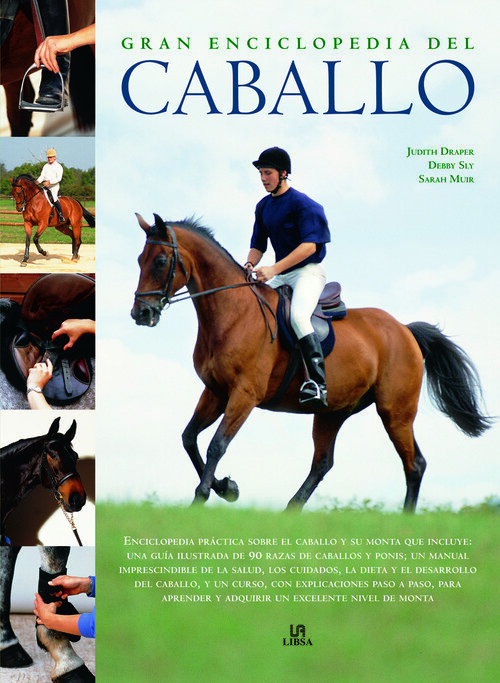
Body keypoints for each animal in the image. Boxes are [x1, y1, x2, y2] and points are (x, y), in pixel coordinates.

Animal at [131, 214, 491, 512]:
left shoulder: (244, 394)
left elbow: (217, 445)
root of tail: (404, 329)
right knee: (323, 463)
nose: (140, 314)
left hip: (395, 411)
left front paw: (203, 496)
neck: (232, 313)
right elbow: (190, 437)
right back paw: (291, 510)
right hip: (332, 412)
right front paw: (226, 487)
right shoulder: (216, 392)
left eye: (161, 261)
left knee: (413, 464)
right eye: (139, 260)